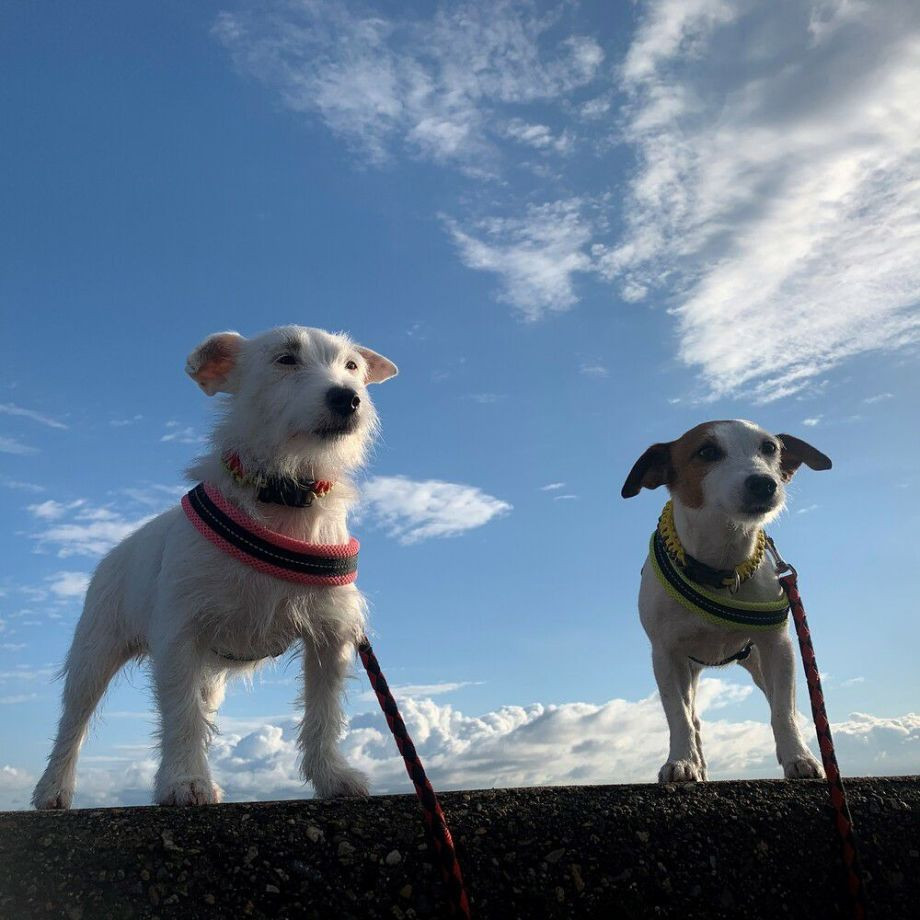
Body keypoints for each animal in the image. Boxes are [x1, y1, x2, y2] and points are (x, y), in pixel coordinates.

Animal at [31, 328, 398, 808]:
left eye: (352, 366)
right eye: (285, 359)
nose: (348, 398)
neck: (281, 495)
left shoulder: (330, 637)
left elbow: (324, 711)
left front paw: (331, 775)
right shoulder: (179, 635)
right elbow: (181, 714)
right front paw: (185, 782)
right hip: (93, 654)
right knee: (73, 722)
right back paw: (53, 787)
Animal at [620, 416, 832, 784]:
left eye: (770, 447)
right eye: (706, 451)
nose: (764, 483)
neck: (719, 566)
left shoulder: (778, 647)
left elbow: (783, 710)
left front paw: (798, 756)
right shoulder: (666, 654)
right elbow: (678, 716)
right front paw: (681, 761)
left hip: (757, 660)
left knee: (777, 701)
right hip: (689, 668)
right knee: (692, 717)